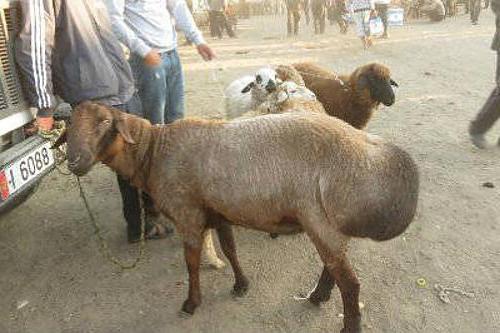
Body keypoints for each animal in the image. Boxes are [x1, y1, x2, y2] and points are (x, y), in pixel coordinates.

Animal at [62, 102, 420, 332]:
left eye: (104, 122)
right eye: (68, 127)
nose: (74, 161)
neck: (153, 152)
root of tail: (367, 145)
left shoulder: (187, 215)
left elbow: (191, 263)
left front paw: (191, 303)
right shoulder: (219, 212)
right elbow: (230, 249)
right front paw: (241, 285)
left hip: (320, 222)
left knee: (351, 284)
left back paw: (344, 322)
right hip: (327, 226)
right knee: (334, 269)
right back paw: (317, 296)